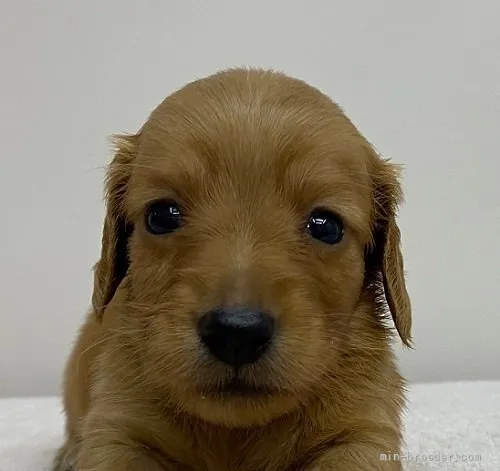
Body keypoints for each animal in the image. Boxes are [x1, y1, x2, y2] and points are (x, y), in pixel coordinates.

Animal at [52, 67, 412, 471]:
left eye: (326, 226)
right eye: (161, 216)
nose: (237, 333)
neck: (234, 432)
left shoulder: (362, 432)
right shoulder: (119, 428)